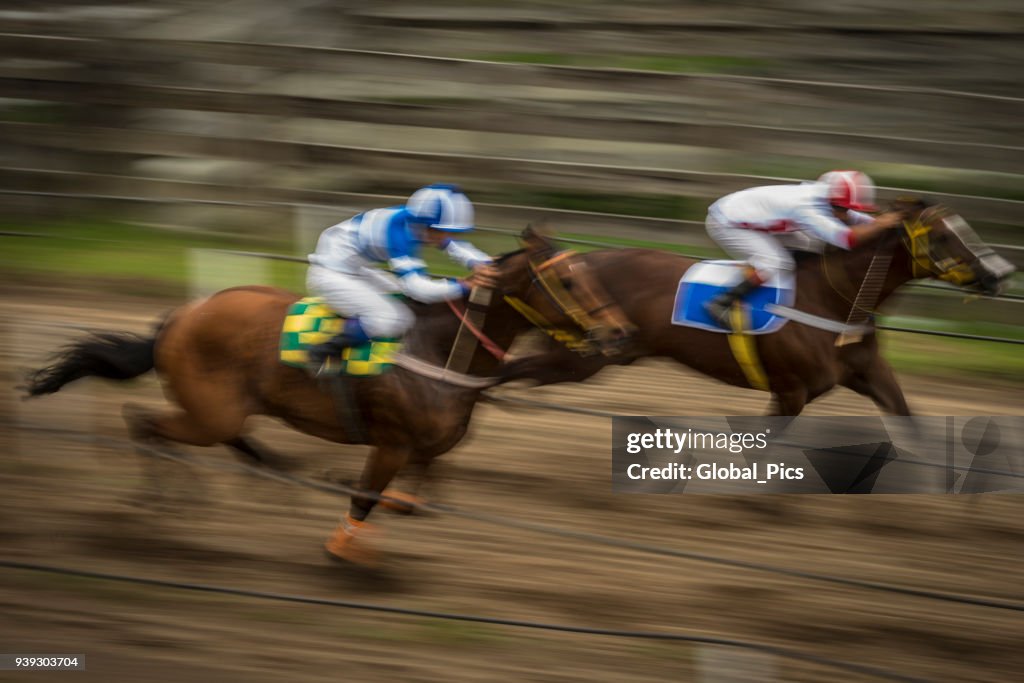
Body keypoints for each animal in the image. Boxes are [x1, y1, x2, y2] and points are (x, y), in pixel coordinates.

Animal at [22, 227, 630, 565]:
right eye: (570, 282)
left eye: (593, 276)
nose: (618, 333)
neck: (438, 351)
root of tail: (179, 316)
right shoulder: (391, 445)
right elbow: (367, 497)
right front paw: (342, 540)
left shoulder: (427, 452)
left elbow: (410, 502)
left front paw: (339, 486)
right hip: (210, 411)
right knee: (144, 420)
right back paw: (171, 495)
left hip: (222, 410)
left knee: (208, 434)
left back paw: (270, 472)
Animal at [497, 201, 1015, 417]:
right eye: (944, 236)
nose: (1001, 272)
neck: (835, 300)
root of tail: (577, 263)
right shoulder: (792, 391)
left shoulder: (867, 373)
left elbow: (909, 423)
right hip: (580, 356)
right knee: (509, 369)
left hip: (590, 357)